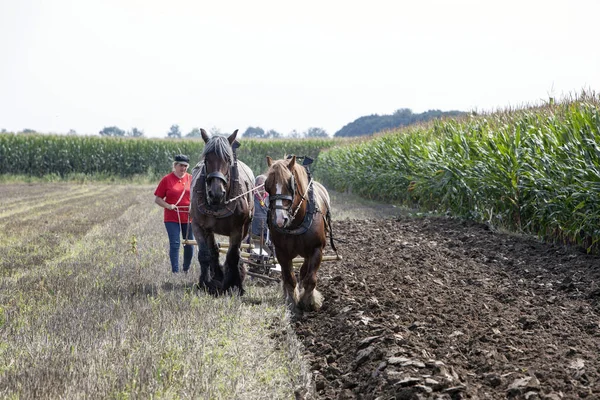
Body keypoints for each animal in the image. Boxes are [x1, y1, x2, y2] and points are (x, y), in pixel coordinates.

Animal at [189, 130, 252, 296]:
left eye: (228, 159)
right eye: (206, 159)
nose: (216, 193)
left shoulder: (237, 229)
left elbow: (233, 255)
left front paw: (233, 285)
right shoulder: (198, 225)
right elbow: (205, 254)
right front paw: (205, 283)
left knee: (238, 253)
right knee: (214, 250)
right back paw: (217, 276)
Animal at [264, 155, 336, 310]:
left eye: (290, 184)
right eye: (267, 186)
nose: (280, 220)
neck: (296, 222)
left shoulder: (317, 249)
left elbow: (311, 279)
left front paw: (310, 301)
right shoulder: (281, 252)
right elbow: (289, 278)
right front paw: (292, 301)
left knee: (305, 271)